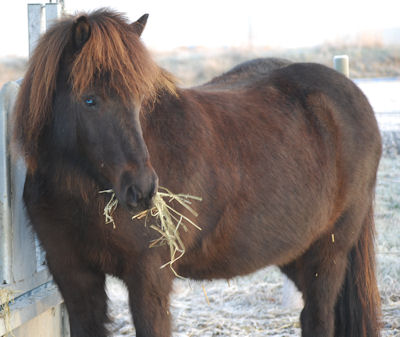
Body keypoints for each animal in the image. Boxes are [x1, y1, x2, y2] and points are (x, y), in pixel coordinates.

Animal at [11, 7, 382, 336]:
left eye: (140, 99)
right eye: (90, 100)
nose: (143, 189)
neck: (82, 191)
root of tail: (353, 95)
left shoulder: (149, 277)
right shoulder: (73, 274)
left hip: (329, 252)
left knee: (318, 318)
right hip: (295, 252)